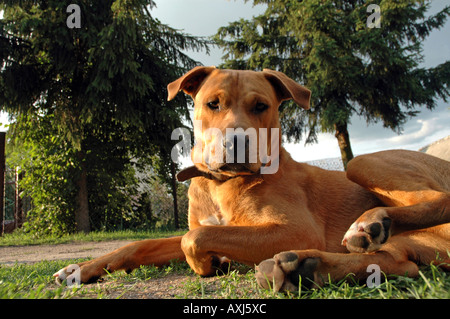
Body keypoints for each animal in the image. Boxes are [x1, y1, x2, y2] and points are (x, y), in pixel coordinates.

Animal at [54, 67, 448, 292]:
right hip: (408, 243)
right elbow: (142, 244)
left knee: (437, 202)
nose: (236, 141)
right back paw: (303, 268)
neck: (220, 183)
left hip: (362, 163)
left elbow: (193, 239)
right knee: (400, 263)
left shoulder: (294, 229)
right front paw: (79, 269)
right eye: (212, 103)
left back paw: (369, 222)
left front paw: (209, 264)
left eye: (261, 106)